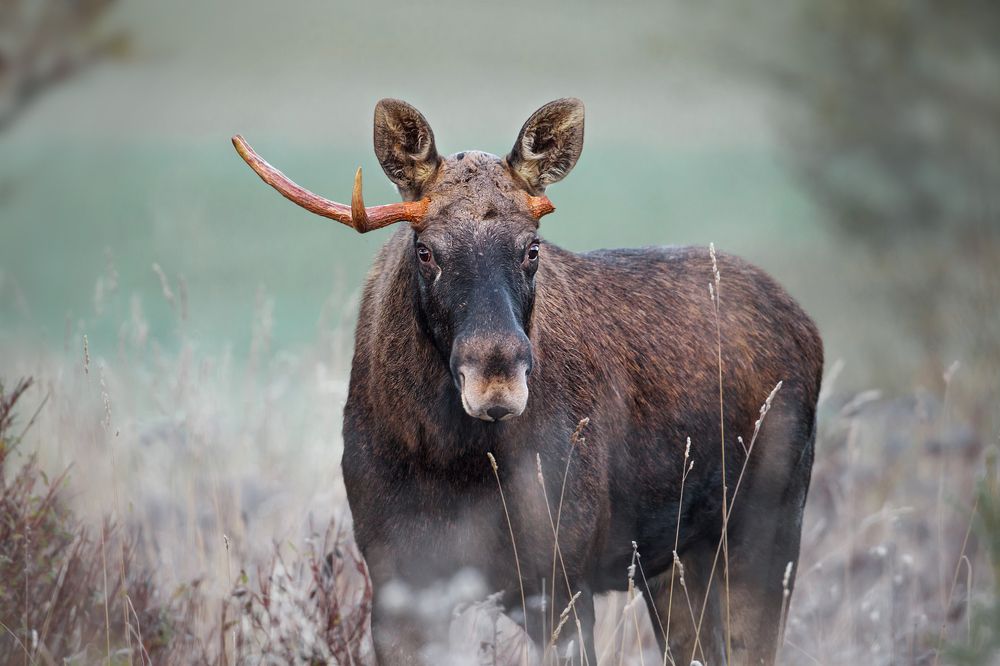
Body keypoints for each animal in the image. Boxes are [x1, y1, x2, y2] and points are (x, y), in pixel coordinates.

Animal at [232, 98, 823, 666]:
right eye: (426, 250)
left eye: (532, 247)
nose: (497, 383)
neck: (446, 459)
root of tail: (808, 327)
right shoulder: (399, 585)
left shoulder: (560, 581)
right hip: (674, 561)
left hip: (766, 530)